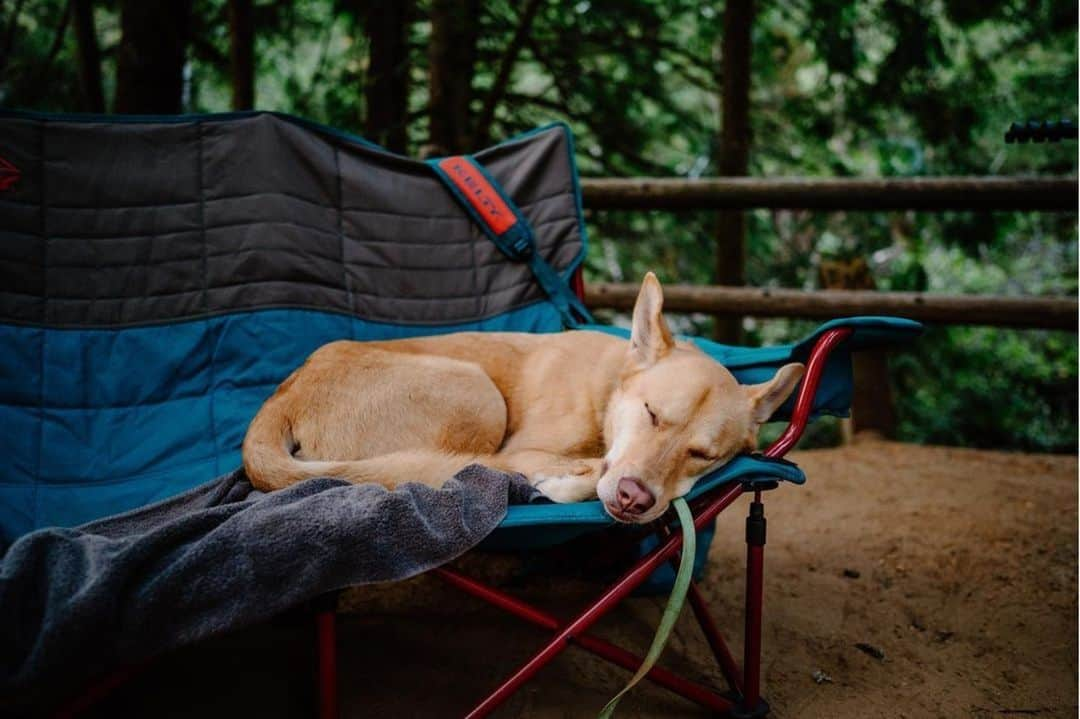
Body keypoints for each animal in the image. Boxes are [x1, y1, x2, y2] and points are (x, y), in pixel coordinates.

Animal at [243, 274, 803, 520]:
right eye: (651, 414)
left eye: (703, 455)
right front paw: (569, 480)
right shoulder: (527, 449)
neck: (606, 393)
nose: (633, 499)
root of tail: (286, 392)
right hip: (478, 394)